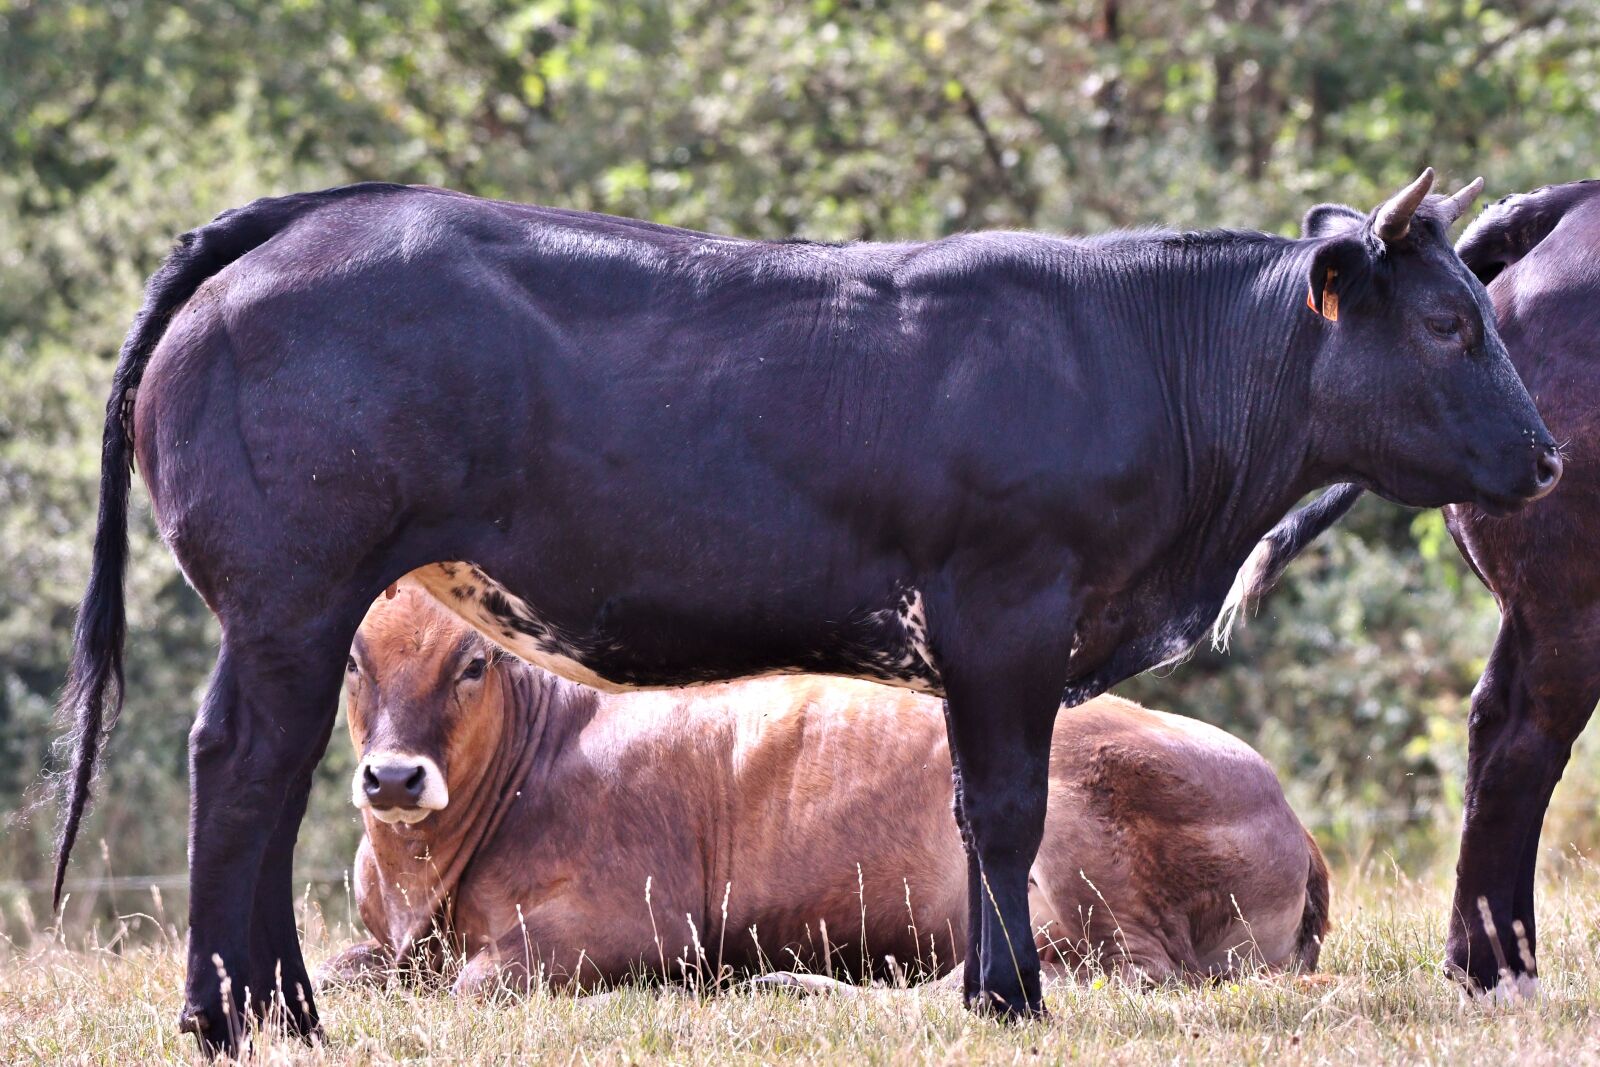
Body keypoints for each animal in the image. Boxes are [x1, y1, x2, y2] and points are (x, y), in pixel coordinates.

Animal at [318, 584, 1328, 994]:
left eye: (474, 661)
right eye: (355, 659)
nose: (395, 775)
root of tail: (1284, 805)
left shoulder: (627, 925)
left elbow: (472, 986)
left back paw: (787, 980)